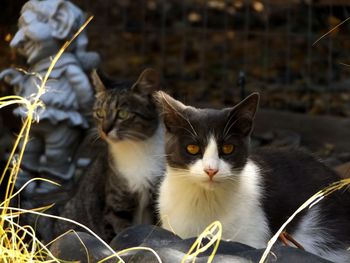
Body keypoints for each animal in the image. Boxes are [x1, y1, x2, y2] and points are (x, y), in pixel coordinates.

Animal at [55, 69, 165, 242]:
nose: (105, 129)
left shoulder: (155, 199)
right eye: (100, 113)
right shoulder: (116, 207)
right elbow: (120, 234)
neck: (135, 149)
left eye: (123, 114)